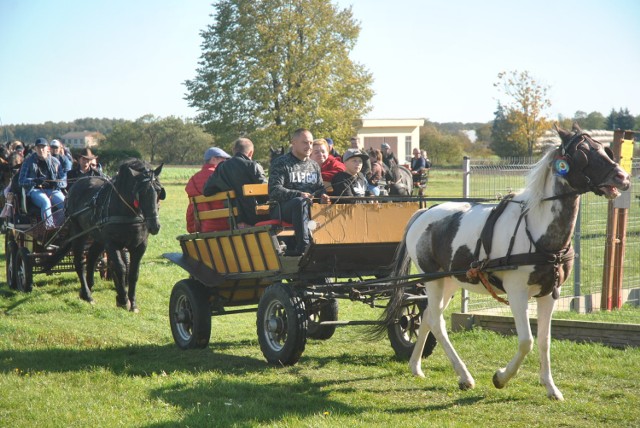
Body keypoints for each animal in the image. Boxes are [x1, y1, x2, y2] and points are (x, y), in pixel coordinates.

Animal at [48, 159, 165, 312]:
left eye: (159, 191)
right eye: (141, 192)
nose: (155, 226)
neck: (129, 212)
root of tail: (78, 183)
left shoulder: (140, 246)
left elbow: (133, 273)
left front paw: (133, 303)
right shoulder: (112, 244)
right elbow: (120, 268)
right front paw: (122, 299)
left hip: (98, 237)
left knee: (91, 257)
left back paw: (88, 288)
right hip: (79, 232)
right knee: (80, 262)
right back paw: (87, 294)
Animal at [382, 125, 628, 400]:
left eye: (604, 149)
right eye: (583, 153)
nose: (623, 177)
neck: (538, 230)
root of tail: (425, 212)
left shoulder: (549, 294)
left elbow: (544, 340)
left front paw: (551, 387)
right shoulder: (517, 292)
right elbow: (526, 341)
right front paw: (501, 377)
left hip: (450, 281)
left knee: (427, 317)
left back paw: (415, 366)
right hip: (432, 279)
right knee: (437, 321)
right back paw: (464, 376)